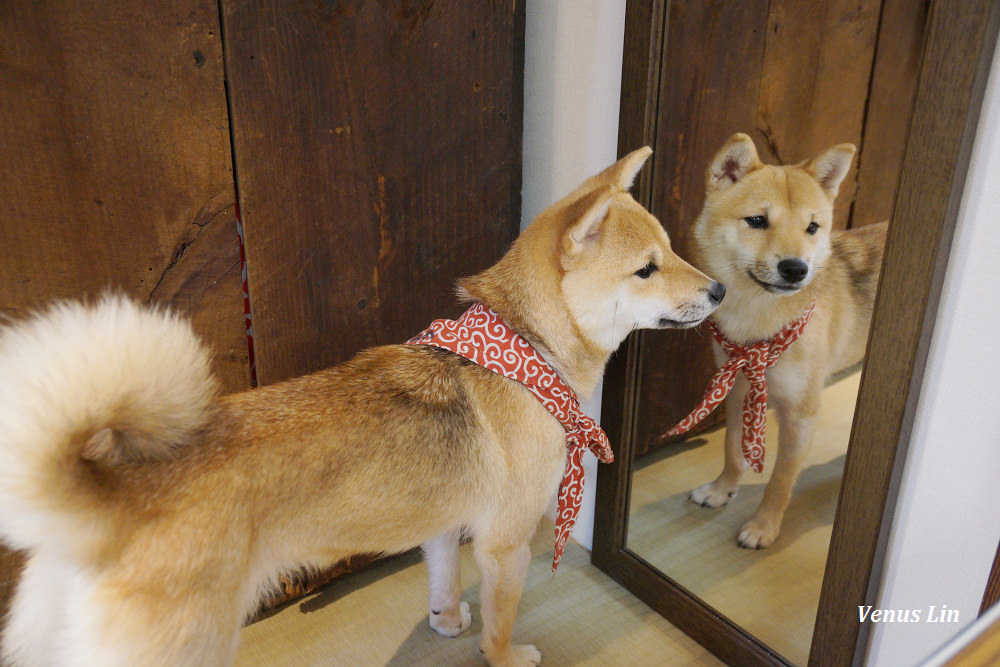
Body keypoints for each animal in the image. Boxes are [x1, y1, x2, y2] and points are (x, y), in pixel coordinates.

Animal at [0, 147, 724, 667]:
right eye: (647, 268)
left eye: (672, 248)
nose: (719, 288)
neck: (526, 352)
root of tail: (111, 492)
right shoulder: (506, 545)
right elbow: (498, 627)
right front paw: (506, 656)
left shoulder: (444, 526)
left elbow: (441, 584)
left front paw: (446, 622)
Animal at [684, 133, 888, 552]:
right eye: (758, 221)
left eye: (812, 227)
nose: (796, 269)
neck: (759, 319)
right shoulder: (739, 388)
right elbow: (733, 450)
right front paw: (722, 490)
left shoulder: (801, 413)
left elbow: (779, 480)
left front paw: (763, 527)